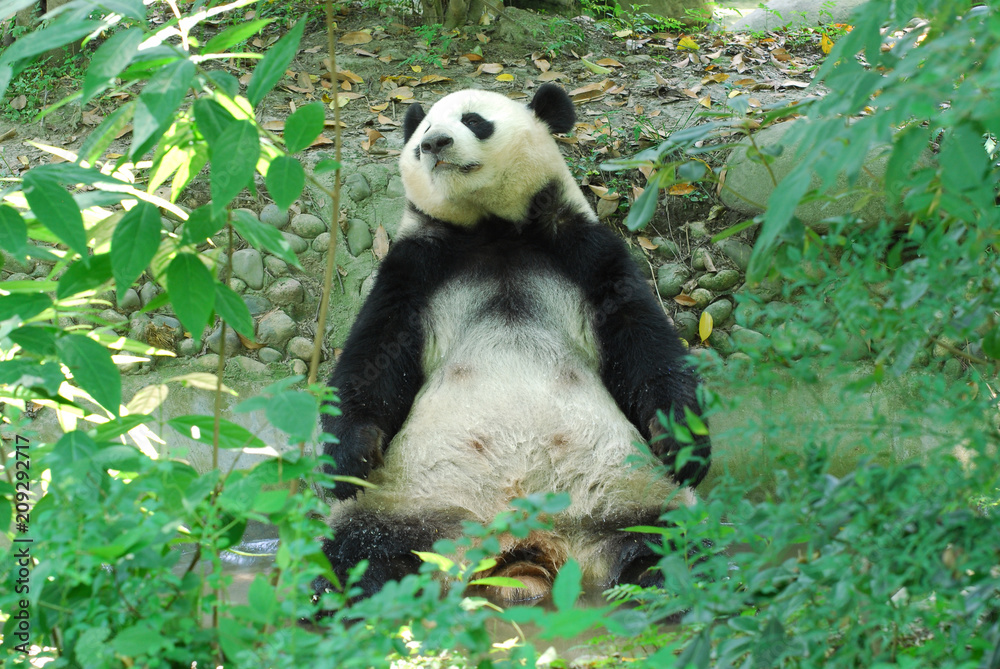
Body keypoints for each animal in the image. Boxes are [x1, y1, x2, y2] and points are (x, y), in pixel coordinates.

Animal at [318, 84, 710, 605]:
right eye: (423, 132)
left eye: (474, 120)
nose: (434, 144)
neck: (491, 228)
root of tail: (525, 551)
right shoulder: (415, 267)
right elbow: (373, 356)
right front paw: (351, 456)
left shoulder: (582, 249)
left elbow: (643, 342)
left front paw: (682, 442)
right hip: (405, 502)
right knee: (355, 554)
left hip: (627, 492)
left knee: (675, 543)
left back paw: (660, 583)